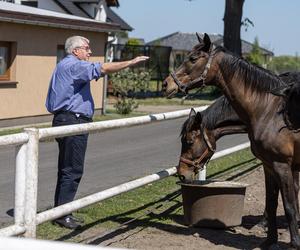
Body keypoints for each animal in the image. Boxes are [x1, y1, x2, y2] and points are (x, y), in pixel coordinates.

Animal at [164, 33, 300, 250]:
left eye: (192, 59)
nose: (166, 83)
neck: (270, 110)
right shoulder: (270, 165)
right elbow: (273, 202)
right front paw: (269, 240)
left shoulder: (283, 165)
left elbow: (289, 204)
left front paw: (294, 243)